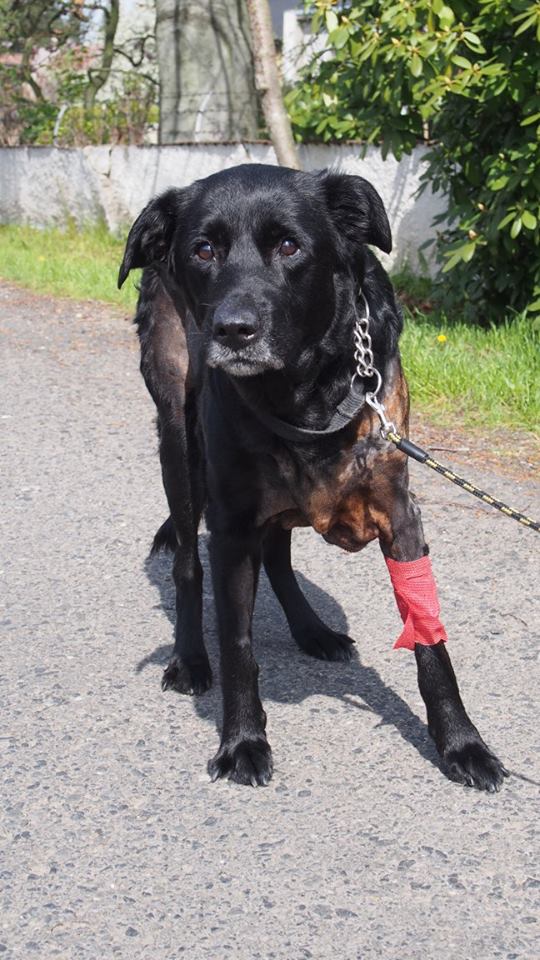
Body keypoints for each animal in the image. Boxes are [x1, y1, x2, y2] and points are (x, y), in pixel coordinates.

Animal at [119, 163, 507, 791]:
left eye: (289, 246)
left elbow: (429, 640)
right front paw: (242, 741)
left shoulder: (400, 513)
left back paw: (312, 631)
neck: (301, 390)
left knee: (277, 554)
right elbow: (238, 642)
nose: (233, 330)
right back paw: (191, 659)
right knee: (186, 563)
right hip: (179, 447)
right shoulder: (231, 524)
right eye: (203, 250)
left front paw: (461, 743)